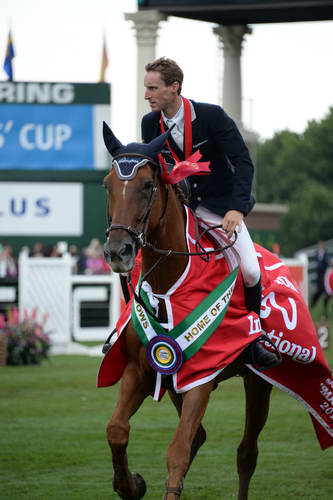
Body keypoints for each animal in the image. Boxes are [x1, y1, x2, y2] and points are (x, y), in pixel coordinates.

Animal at [102, 123, 272, 498]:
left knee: (247, 453)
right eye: (107, 184)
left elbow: (177, 450)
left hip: (258, 382)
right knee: (202, 437)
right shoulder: (141, 369)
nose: (117, 252)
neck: (169, 284)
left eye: (147, 185)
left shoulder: (201, 379)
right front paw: (130, 484)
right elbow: (117, 429)